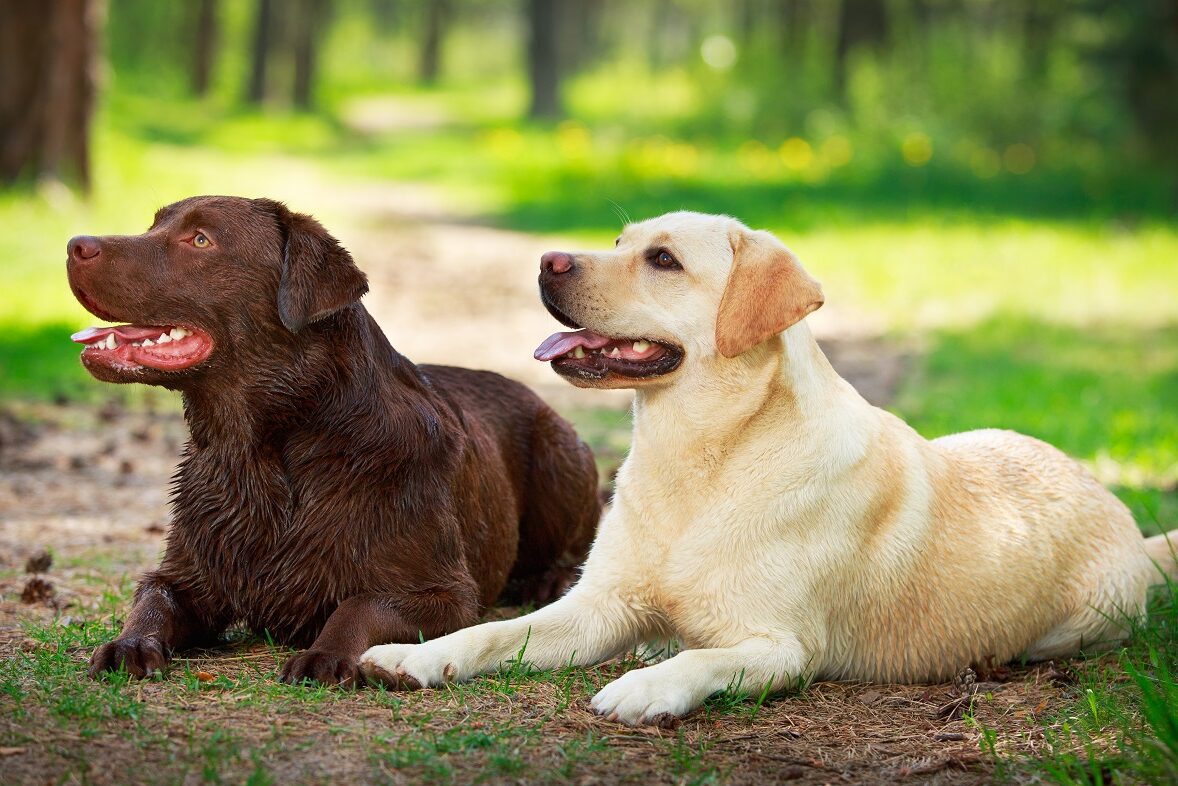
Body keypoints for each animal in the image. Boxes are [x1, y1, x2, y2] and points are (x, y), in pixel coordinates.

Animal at [66, 195, 598, 683]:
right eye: (153, 224)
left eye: (199, 240)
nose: (74, 245)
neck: (259, 451)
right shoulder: (189, 572)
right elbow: (153, 597)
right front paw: (129, 644)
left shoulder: (447, 594)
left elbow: (358, 605)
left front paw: (326, 654)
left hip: (561, 457)